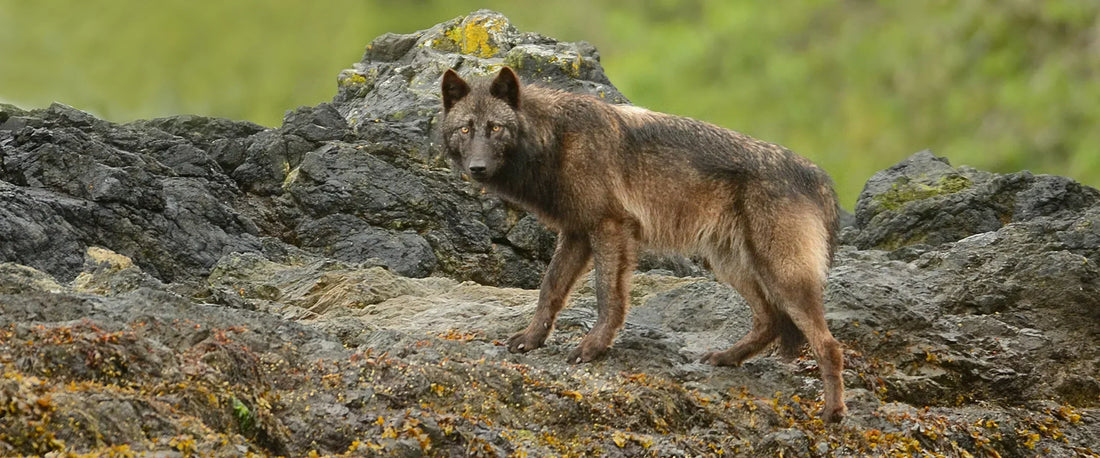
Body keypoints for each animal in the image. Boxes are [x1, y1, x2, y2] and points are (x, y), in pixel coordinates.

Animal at [440, 67, 846, 422]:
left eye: (495, 128)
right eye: (466, 128)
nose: (476, 168)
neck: (556, 138)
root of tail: (821, 178)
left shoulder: (609, 228)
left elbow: (607, 296)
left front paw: (593, 347)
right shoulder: (576, 233)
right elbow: (550, 288)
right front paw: (532, 338)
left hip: (781, 275)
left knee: (828, 345)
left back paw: (832, 413)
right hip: (732, 266)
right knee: (770, 321)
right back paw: (727, 358)